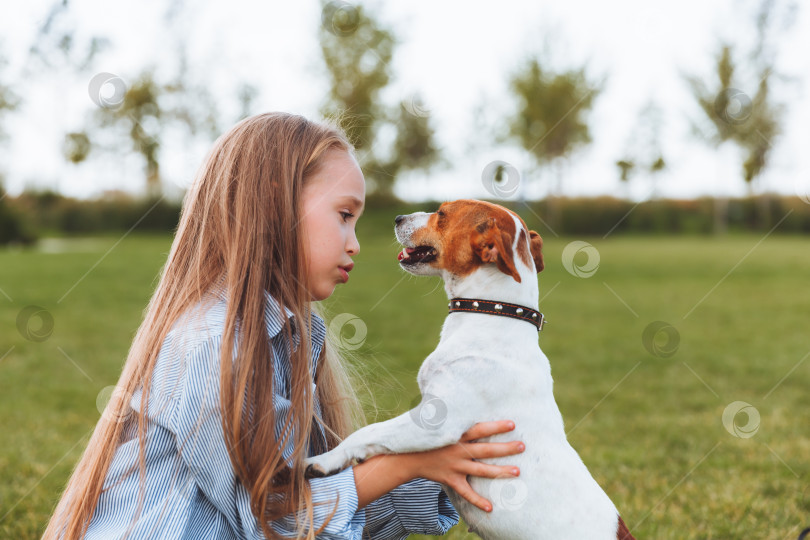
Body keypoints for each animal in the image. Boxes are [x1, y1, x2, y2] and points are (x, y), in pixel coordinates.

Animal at [306, 200, 636, 536]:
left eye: (442, 214)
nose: (398, 218)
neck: (492, 314)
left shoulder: (436, 421)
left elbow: (368, 432)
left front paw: (326, 460)